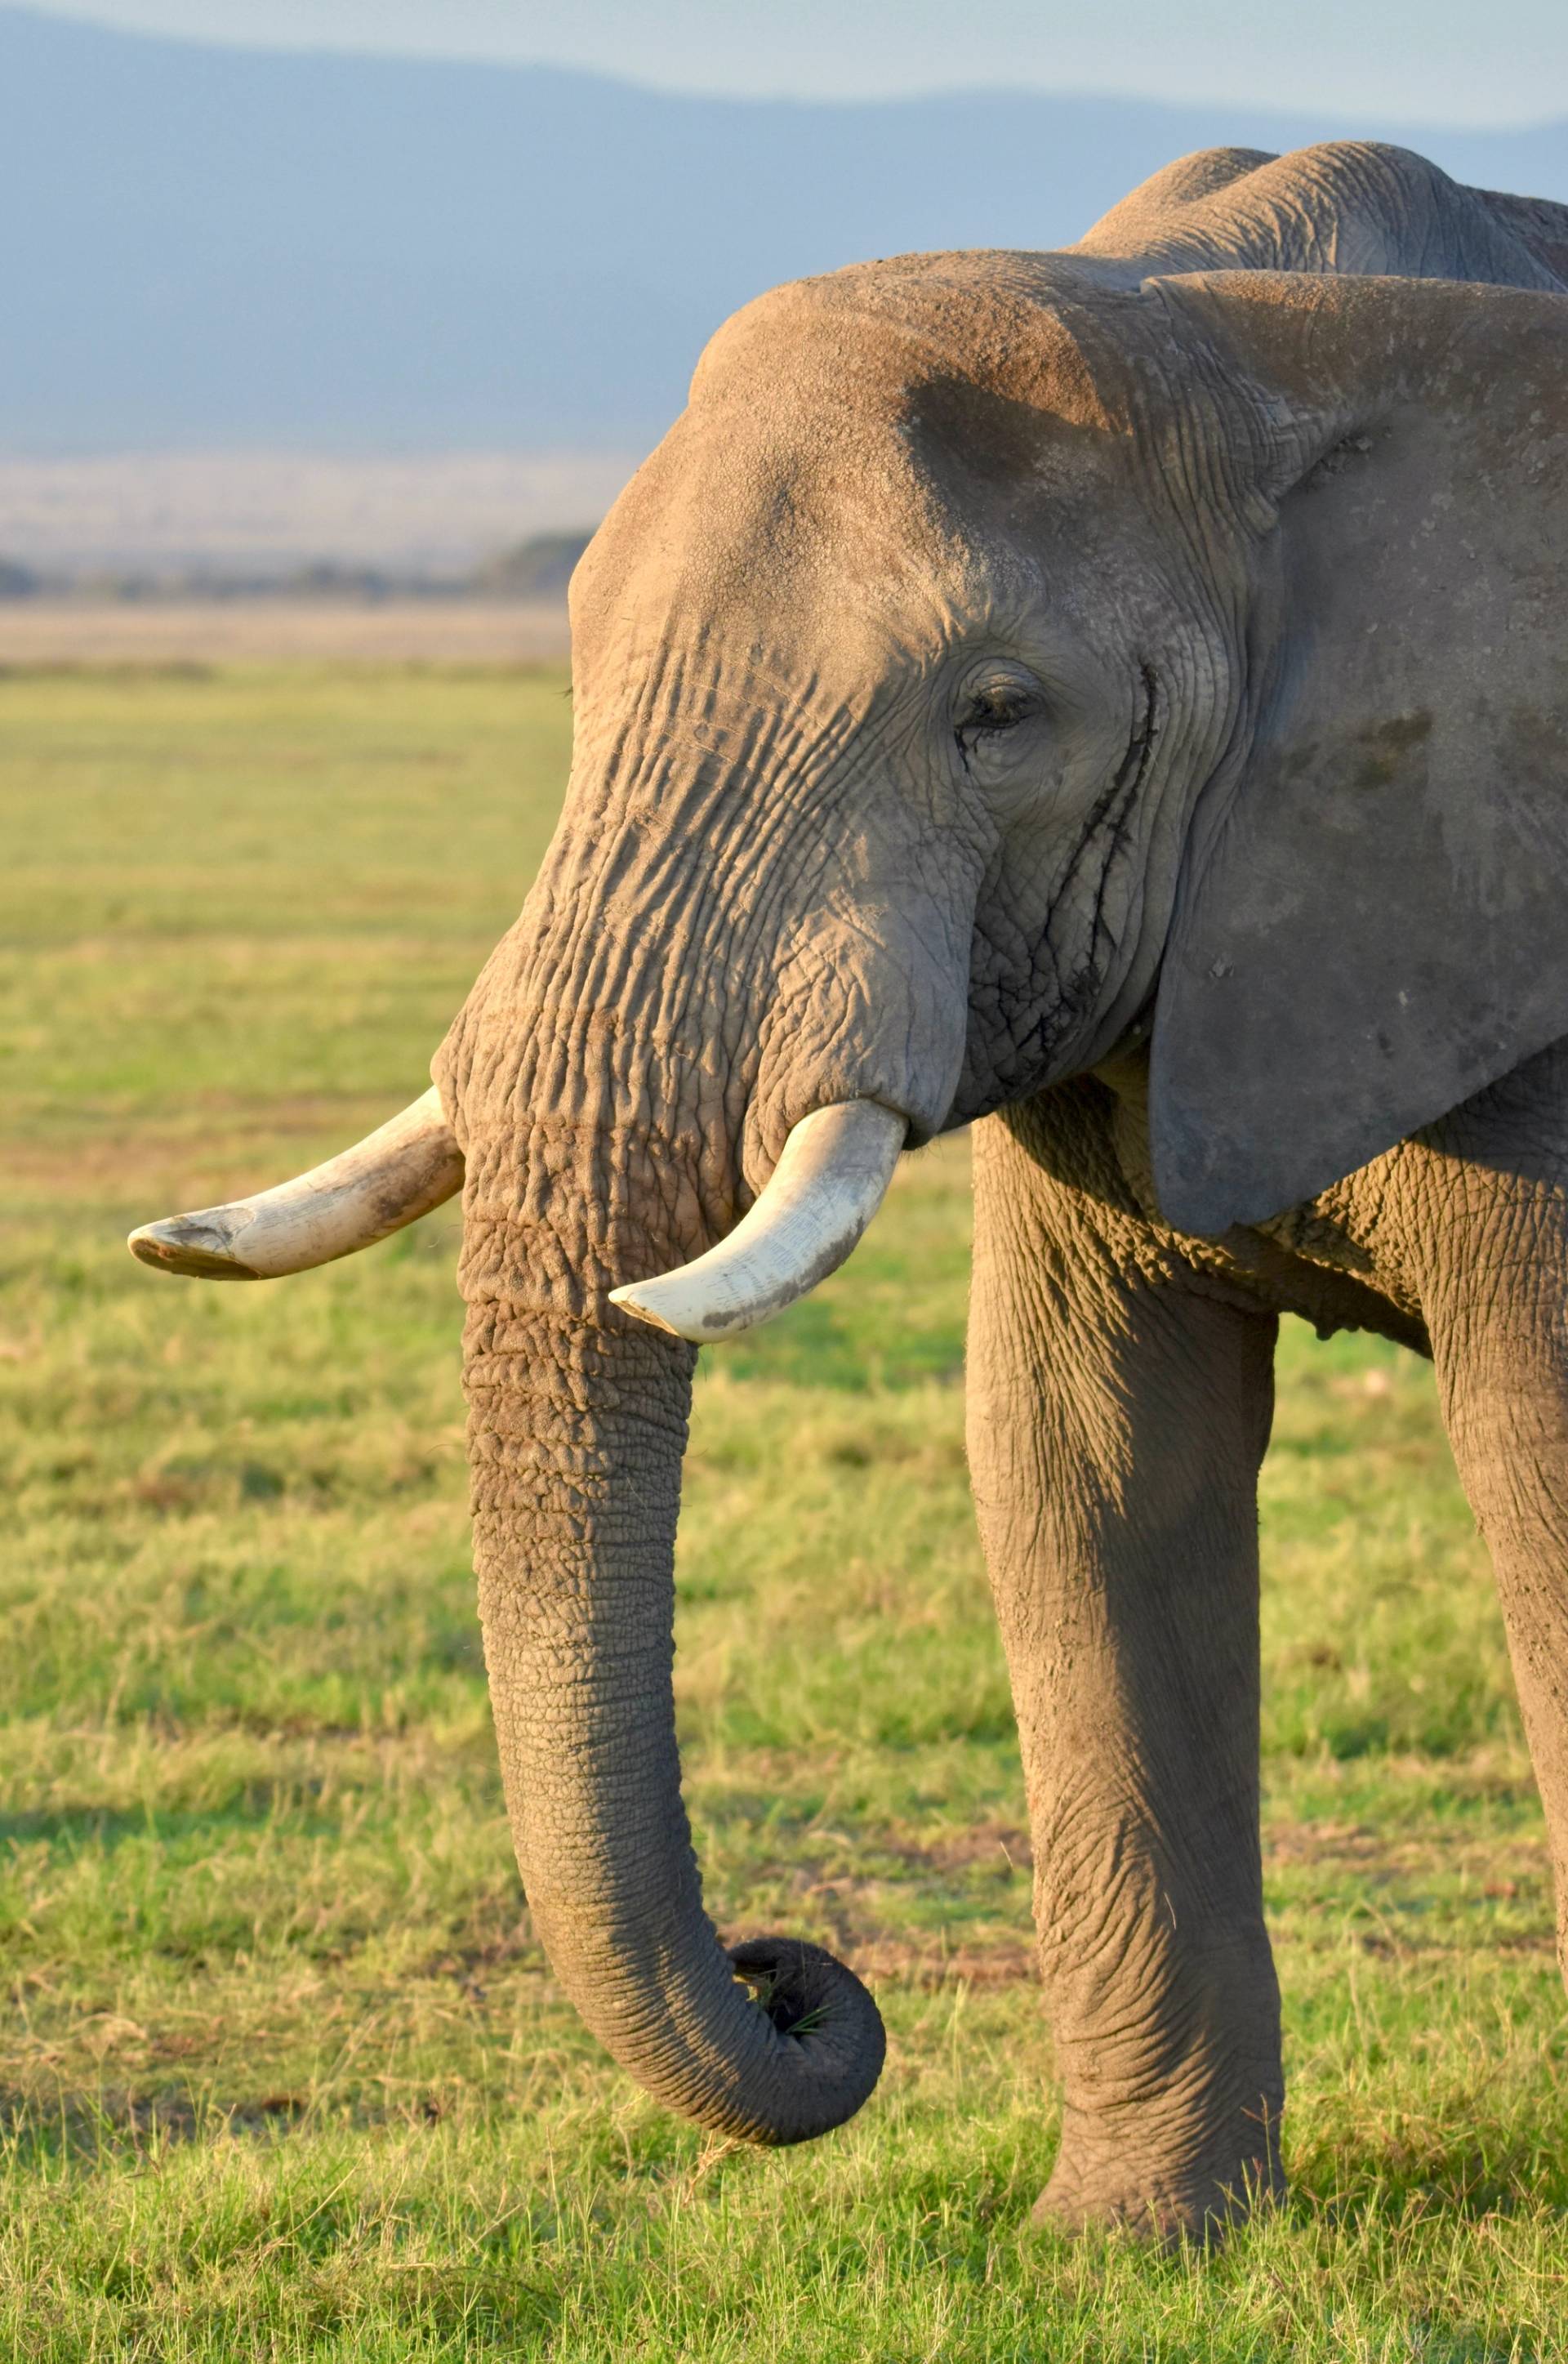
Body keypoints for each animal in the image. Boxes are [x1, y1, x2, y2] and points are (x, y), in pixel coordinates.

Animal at [129, 140, 1568, 2240]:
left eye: (998, 712)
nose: (788, 1970)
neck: (1236, 338)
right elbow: (1082, 1466)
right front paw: (1125, 2245)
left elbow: (1540, 1457)